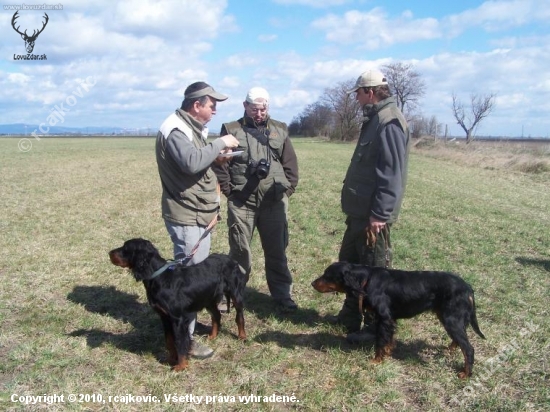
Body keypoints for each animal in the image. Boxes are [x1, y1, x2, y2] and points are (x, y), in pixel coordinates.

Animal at [109, 238, 247, 370]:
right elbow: (169, 340)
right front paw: (171, 359)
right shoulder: (164, 316)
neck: (160, 277)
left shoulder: (177, 318)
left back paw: (242, 336)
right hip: (208, 298)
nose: (109, 253)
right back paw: (212, 336)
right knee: (216, 315)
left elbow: (180, 341)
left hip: (235, 294)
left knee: (239, 316)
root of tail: (231, 259)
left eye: (125, 248)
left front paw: (181, 366)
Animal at [312, 262, 486, 378]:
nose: (312, 283)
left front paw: (377, 360)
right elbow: (388, 340)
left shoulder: (384, 318)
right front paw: (388, 352)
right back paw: (449, 350)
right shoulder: (389, 320)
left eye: (328, 275)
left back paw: (465, 373)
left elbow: (380, 341)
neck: (366, 280)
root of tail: (468, 287)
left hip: (451, 319)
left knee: (468, 348)